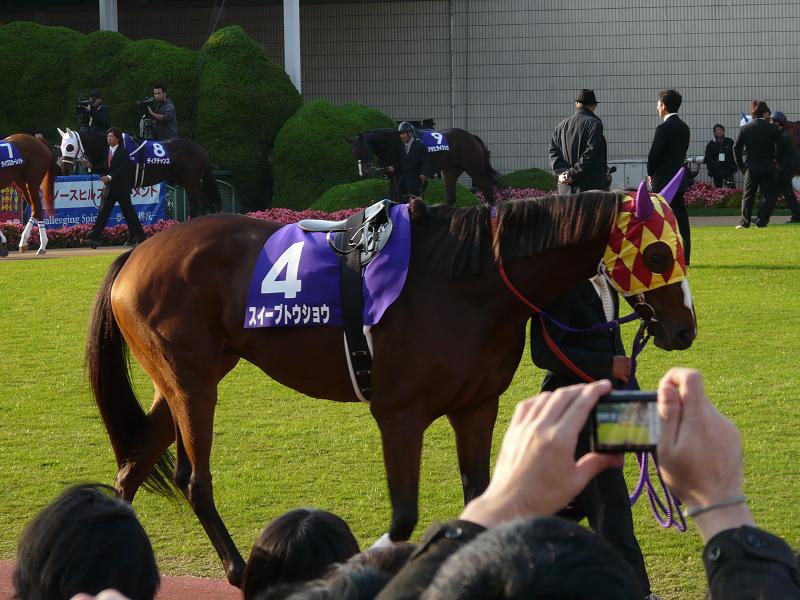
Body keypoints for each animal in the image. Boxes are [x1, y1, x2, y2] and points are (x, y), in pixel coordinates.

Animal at [58, 126, 222, 218]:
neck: (112, 148)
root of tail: (201, 150)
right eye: (61, 146)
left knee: (202, 201)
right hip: (185, 181)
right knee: (201, 201)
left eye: (70, 147)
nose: (64, 167)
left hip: (191, 181)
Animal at [83, 189, 692, 584]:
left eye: (682, 247)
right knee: (195, 480)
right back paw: (234, 569)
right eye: (658, 252)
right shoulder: (399, 414)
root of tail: (137, 251)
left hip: (184, 379)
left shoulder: (477, 407)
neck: (467, 280)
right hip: (192, 383)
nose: (684, 328)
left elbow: (480, 497)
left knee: (135, 463)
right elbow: (403, 518)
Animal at [350, 127, 500, 205]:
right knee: (451, 198)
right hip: (450, 171)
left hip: (474, 169)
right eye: (354, 152)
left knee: (487, 190)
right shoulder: (392, 177)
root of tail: (472, 137)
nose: (363, 172)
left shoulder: (401, 176)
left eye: (364, 149)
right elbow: (392, 197)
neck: (394, 143)